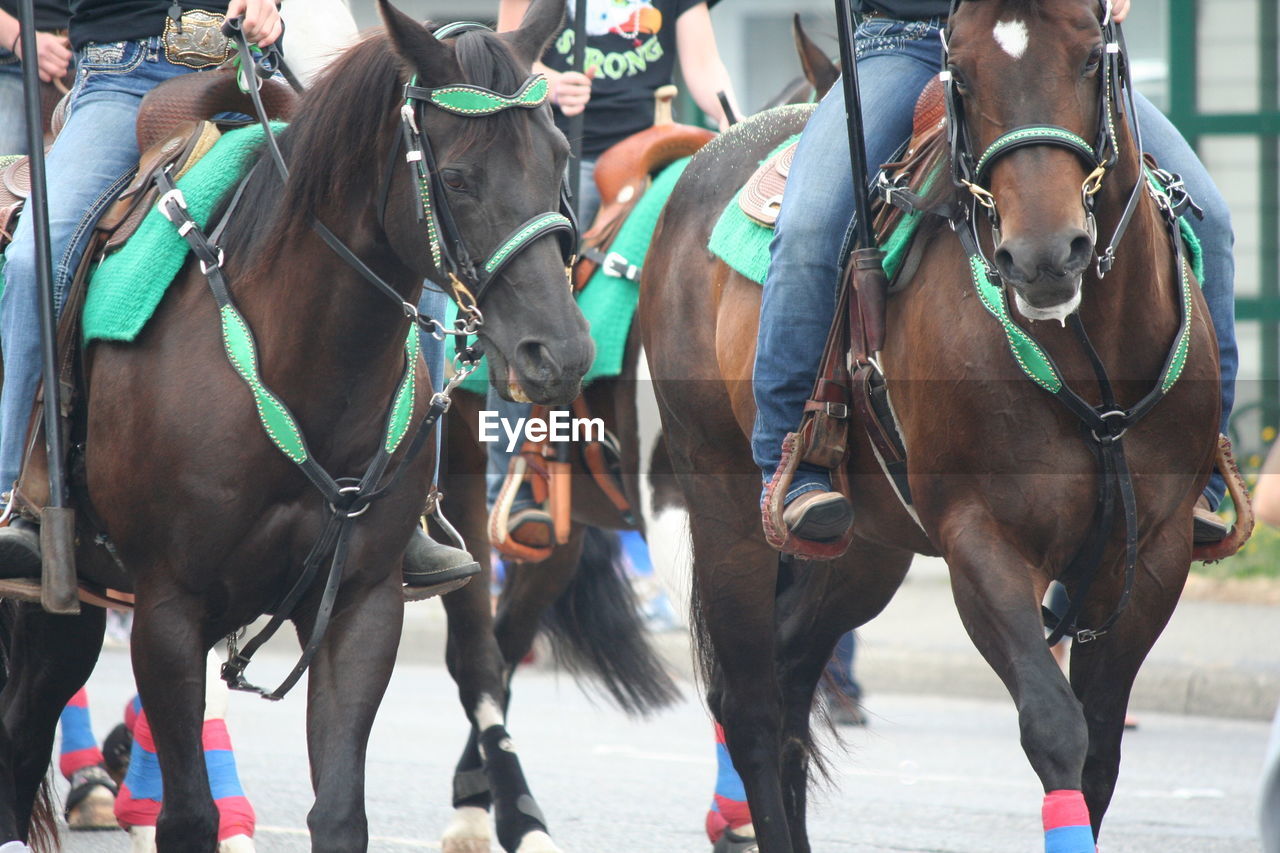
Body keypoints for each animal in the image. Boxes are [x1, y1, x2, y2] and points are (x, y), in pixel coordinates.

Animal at [0, 1, 591, 850]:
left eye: (558, 155)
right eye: (455, 177)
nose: (561, 350)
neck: (296, 362)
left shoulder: (362, 607)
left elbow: (340, 811)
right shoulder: (169, 611)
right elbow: (188, 814)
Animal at [645, 3, 1223, 845]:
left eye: (1091, 59)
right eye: (965, 75)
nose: (1043, 255)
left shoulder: (1154, 551)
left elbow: (1101, 752)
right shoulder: (980, 540)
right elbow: (1056, 726)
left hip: (862, 551)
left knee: (791, 679)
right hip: (725, 507)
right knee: (750, 704)